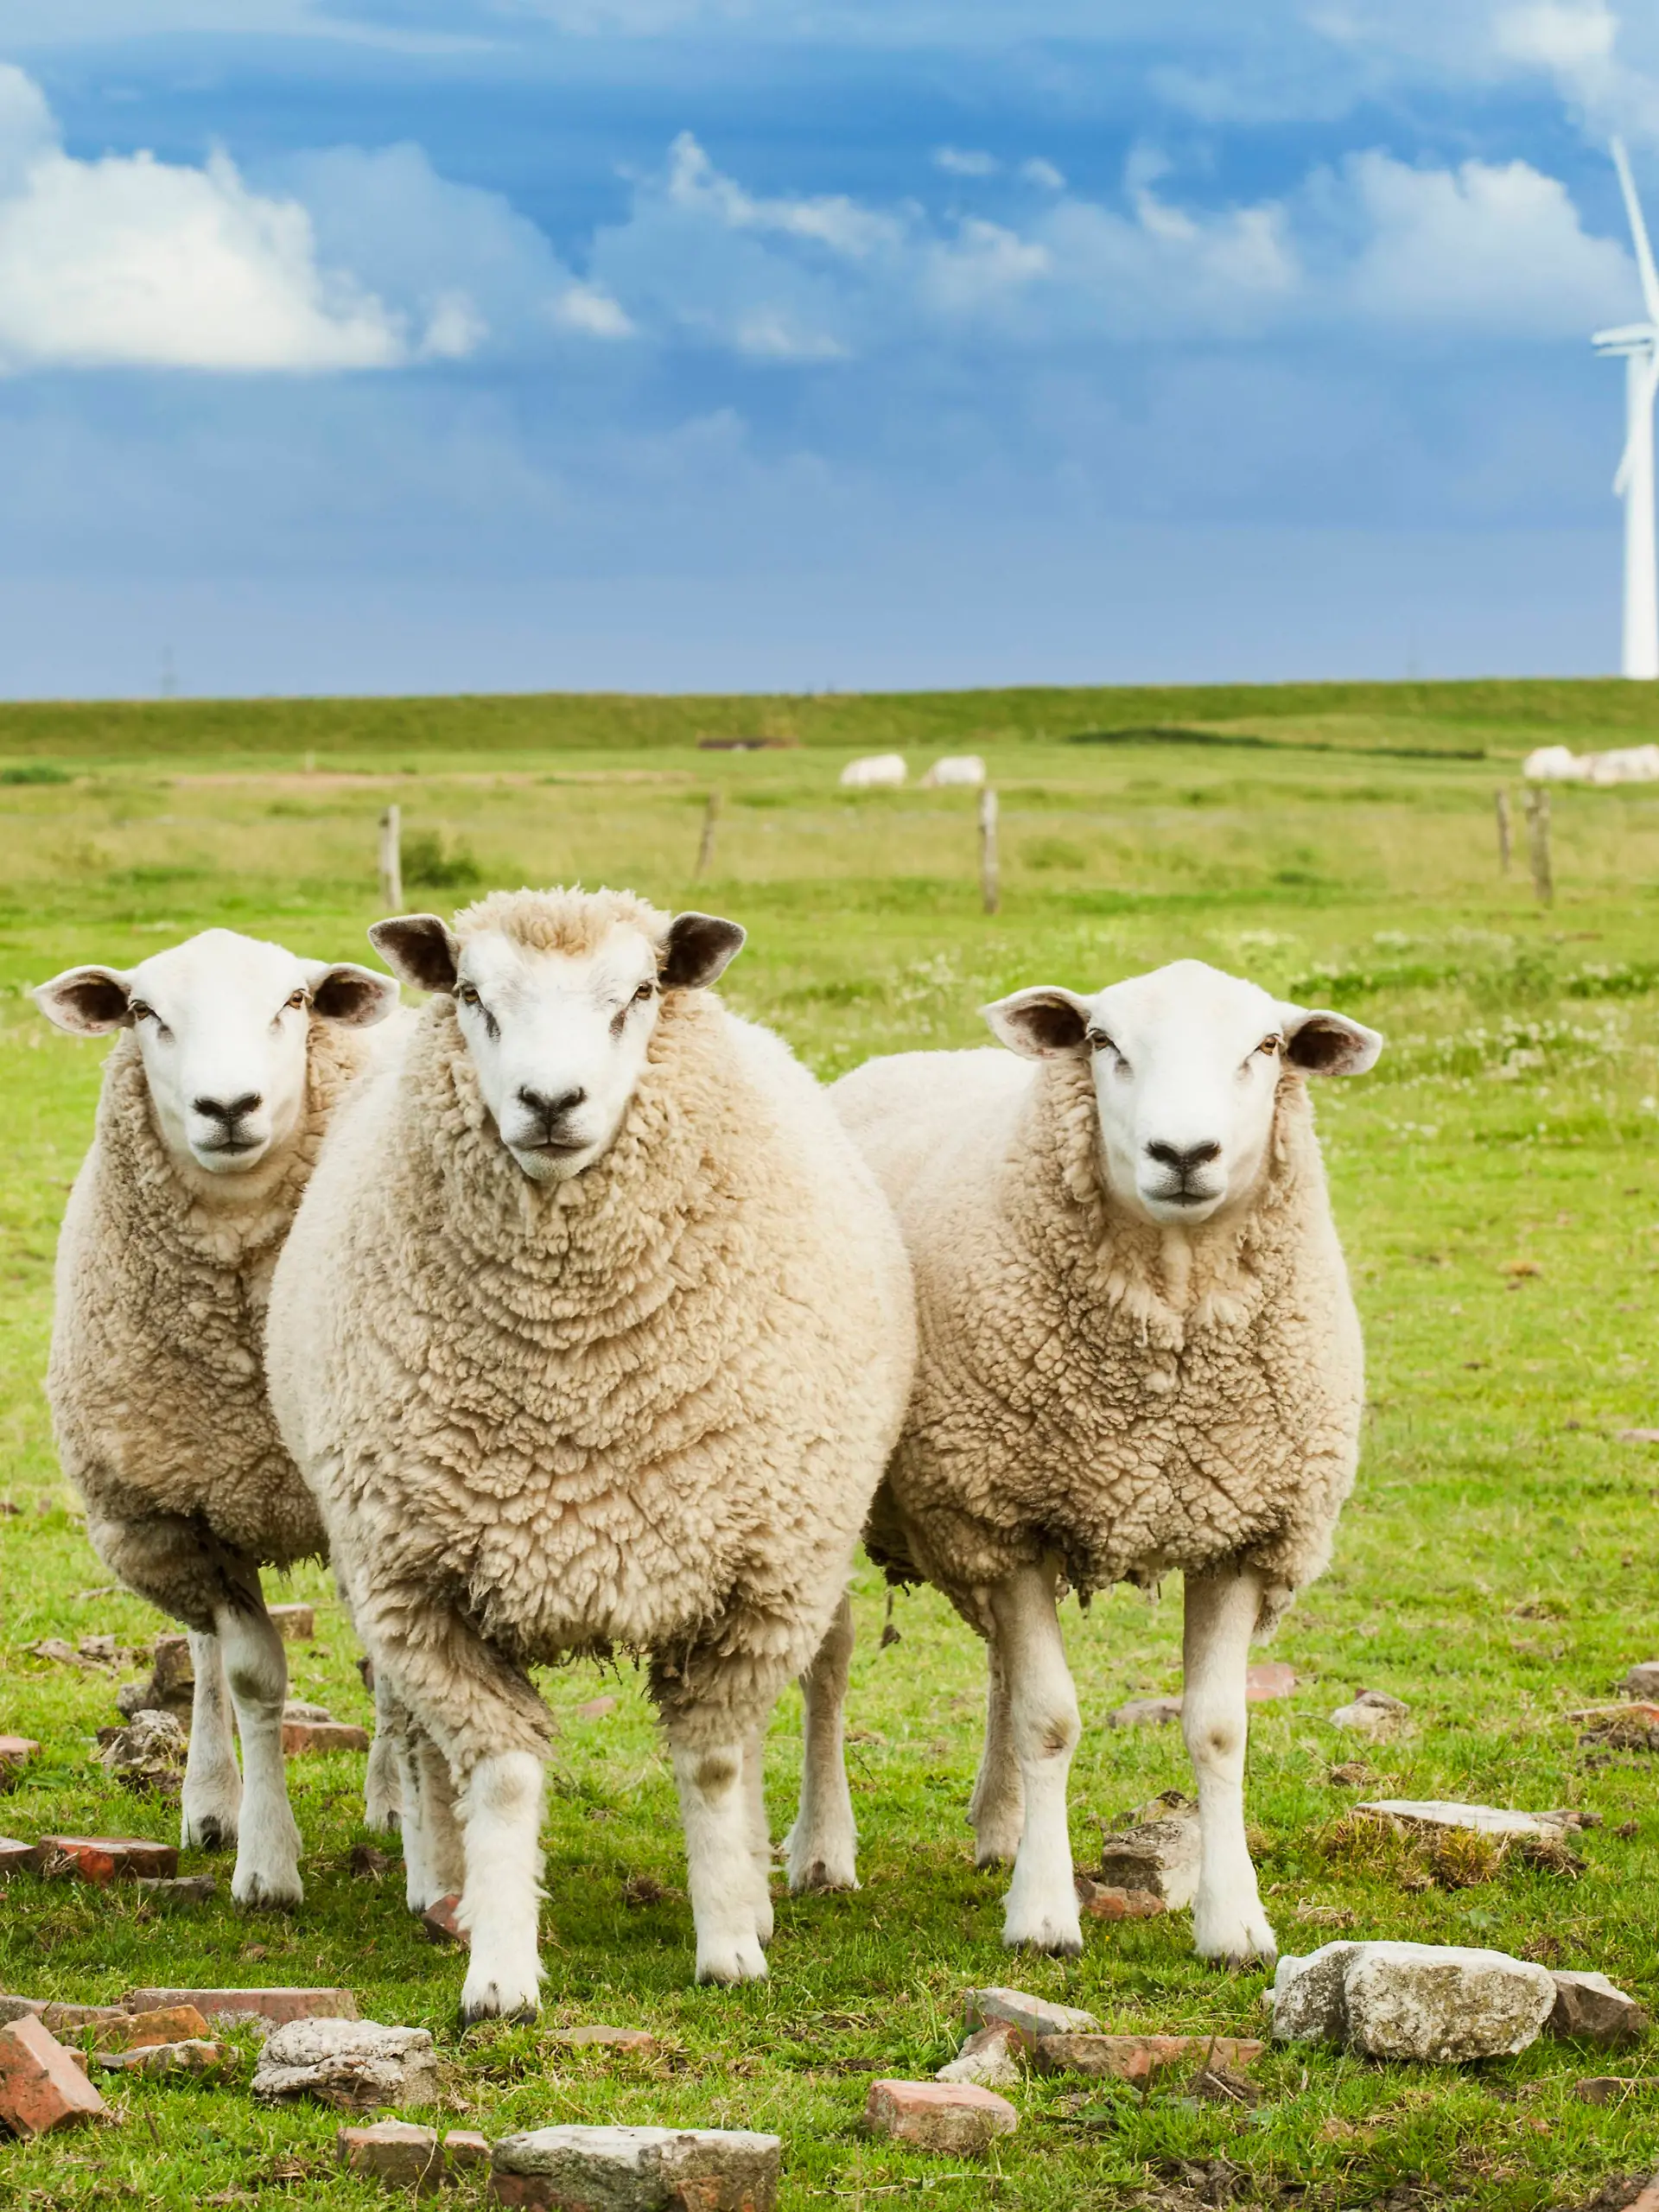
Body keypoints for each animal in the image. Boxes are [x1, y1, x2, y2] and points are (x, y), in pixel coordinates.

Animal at [35, 928, 401, 1906]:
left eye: (293, 1003)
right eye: (145, 1012)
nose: (228, 1106)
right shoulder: (174, 1515)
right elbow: (248, 1676)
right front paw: (266, 1862)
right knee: (199, 1655)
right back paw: (209, 1804)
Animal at [264, 887, 914, 2016]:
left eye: (640, 993)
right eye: (471, 994)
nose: (550, 1100)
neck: (578, 1381)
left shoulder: (760, 1579)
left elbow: (713, 1762)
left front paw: (729, 1945)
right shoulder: (422, 1590)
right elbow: (503, 1774)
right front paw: (499, 1968)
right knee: (425, 1748)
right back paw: (447, 1887)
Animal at [827, 958, 1382, 1966]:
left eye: (1268, 1045)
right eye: (1102, 1041)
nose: (1184, 1153)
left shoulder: (1243, 1530)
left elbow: (1218, 1729)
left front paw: (1235, 1922)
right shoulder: (1001, 1518)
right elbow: (1052, 1719)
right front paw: (1044, 1915)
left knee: (1000, 1666)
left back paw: (999, 1827)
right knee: (832, 1661)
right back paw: (822, 1850)